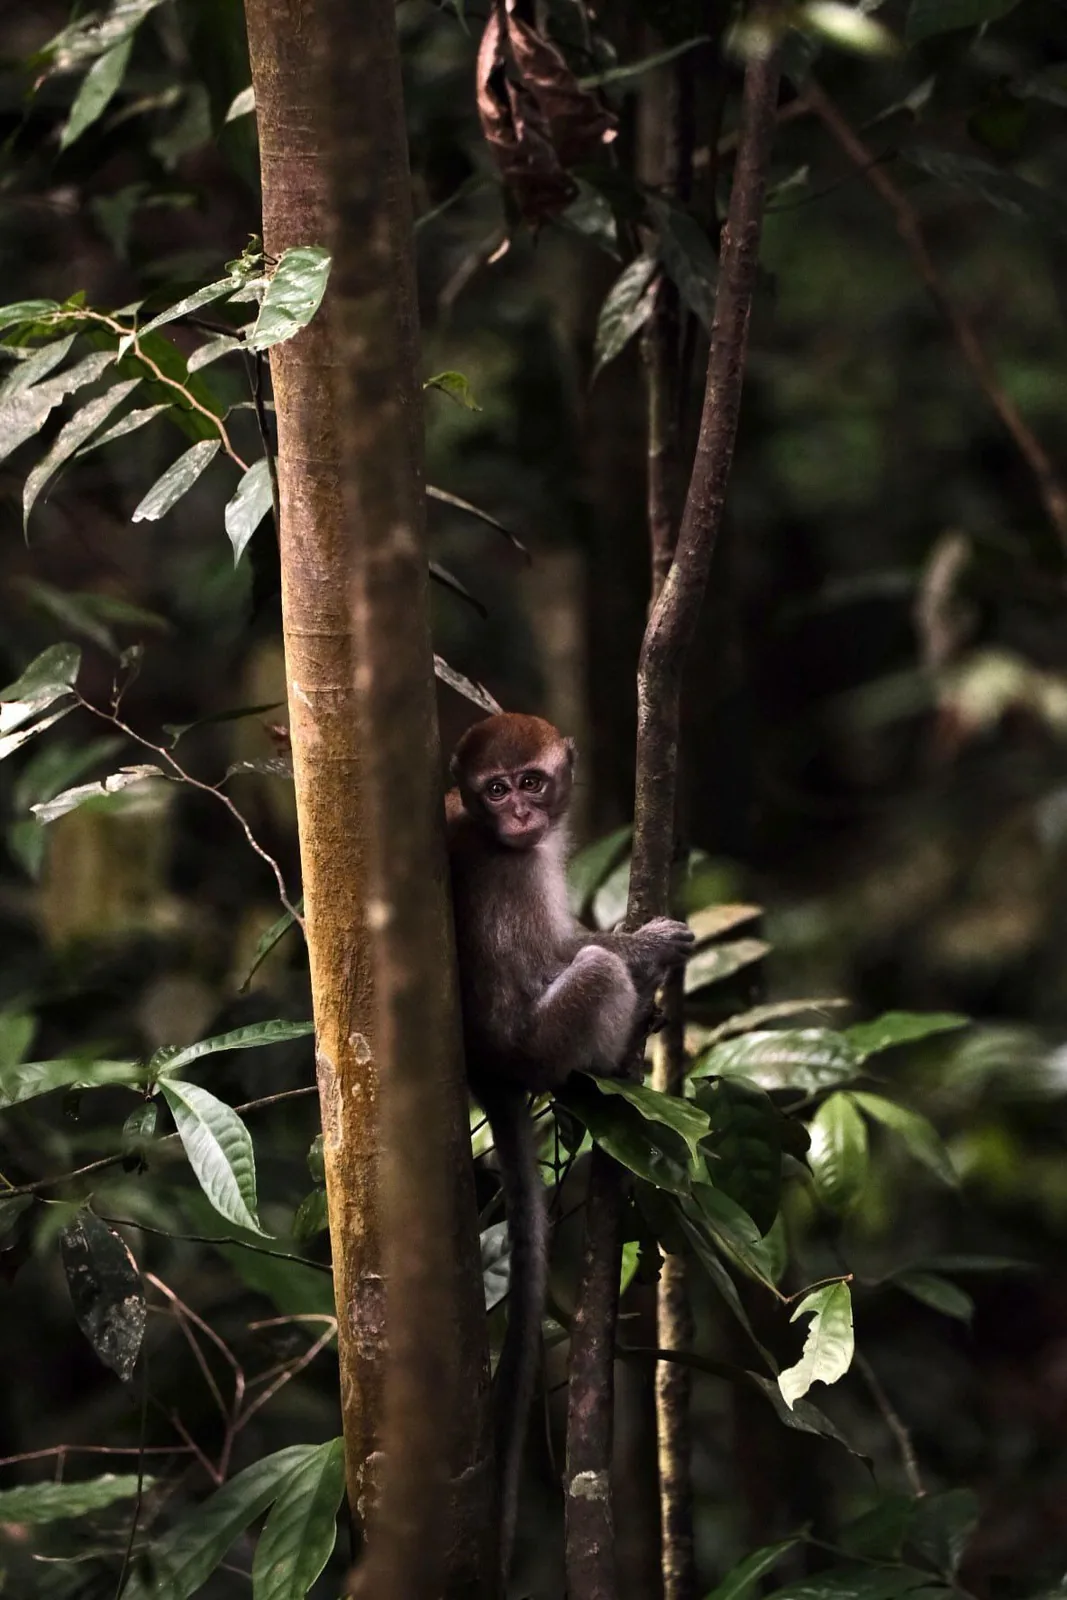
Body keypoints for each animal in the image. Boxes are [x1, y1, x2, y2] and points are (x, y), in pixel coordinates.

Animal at [445, 712, 693, 1584]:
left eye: (529, 781)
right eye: (495, 789)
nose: (520, 815)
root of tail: (491, 1072)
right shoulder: (515, 874)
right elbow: (550, 960)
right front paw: (645, 946)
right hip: (542, 1045)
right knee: (587, 974)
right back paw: (617, 1054)